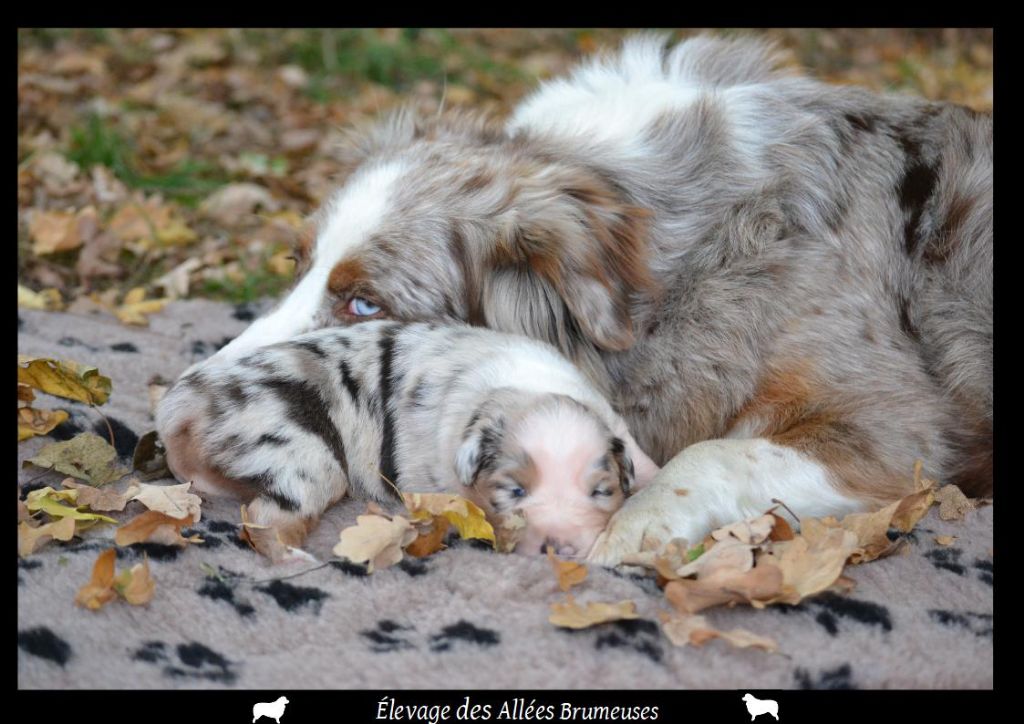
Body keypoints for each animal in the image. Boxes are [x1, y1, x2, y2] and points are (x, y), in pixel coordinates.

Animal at [155, 321, 659, 557]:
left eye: (601, 492)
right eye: (514, 491)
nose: (560, 548)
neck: (526, 387)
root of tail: (188, 400)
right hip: (303, 457)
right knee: (266, 518)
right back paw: (293, 557)